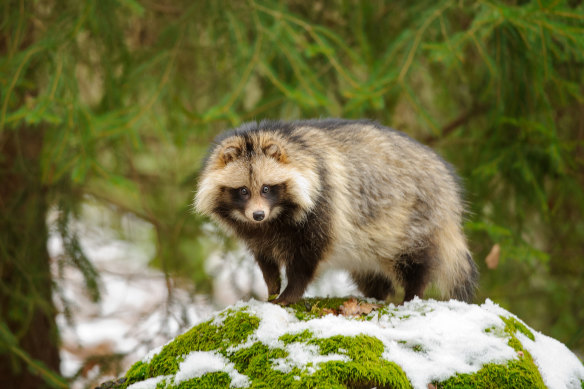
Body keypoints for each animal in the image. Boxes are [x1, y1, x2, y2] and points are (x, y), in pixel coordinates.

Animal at [194, 116, 476, 304]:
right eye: (243, 191)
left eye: (266, 188)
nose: (258, 215)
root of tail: (448, 184)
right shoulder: (255, 233)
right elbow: (265, 260)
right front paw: (272, 287)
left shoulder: (324, 204)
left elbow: (307, 258)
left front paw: (289, 293)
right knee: (372, 275)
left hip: (415, 218)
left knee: (416, 261)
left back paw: (411, 295)